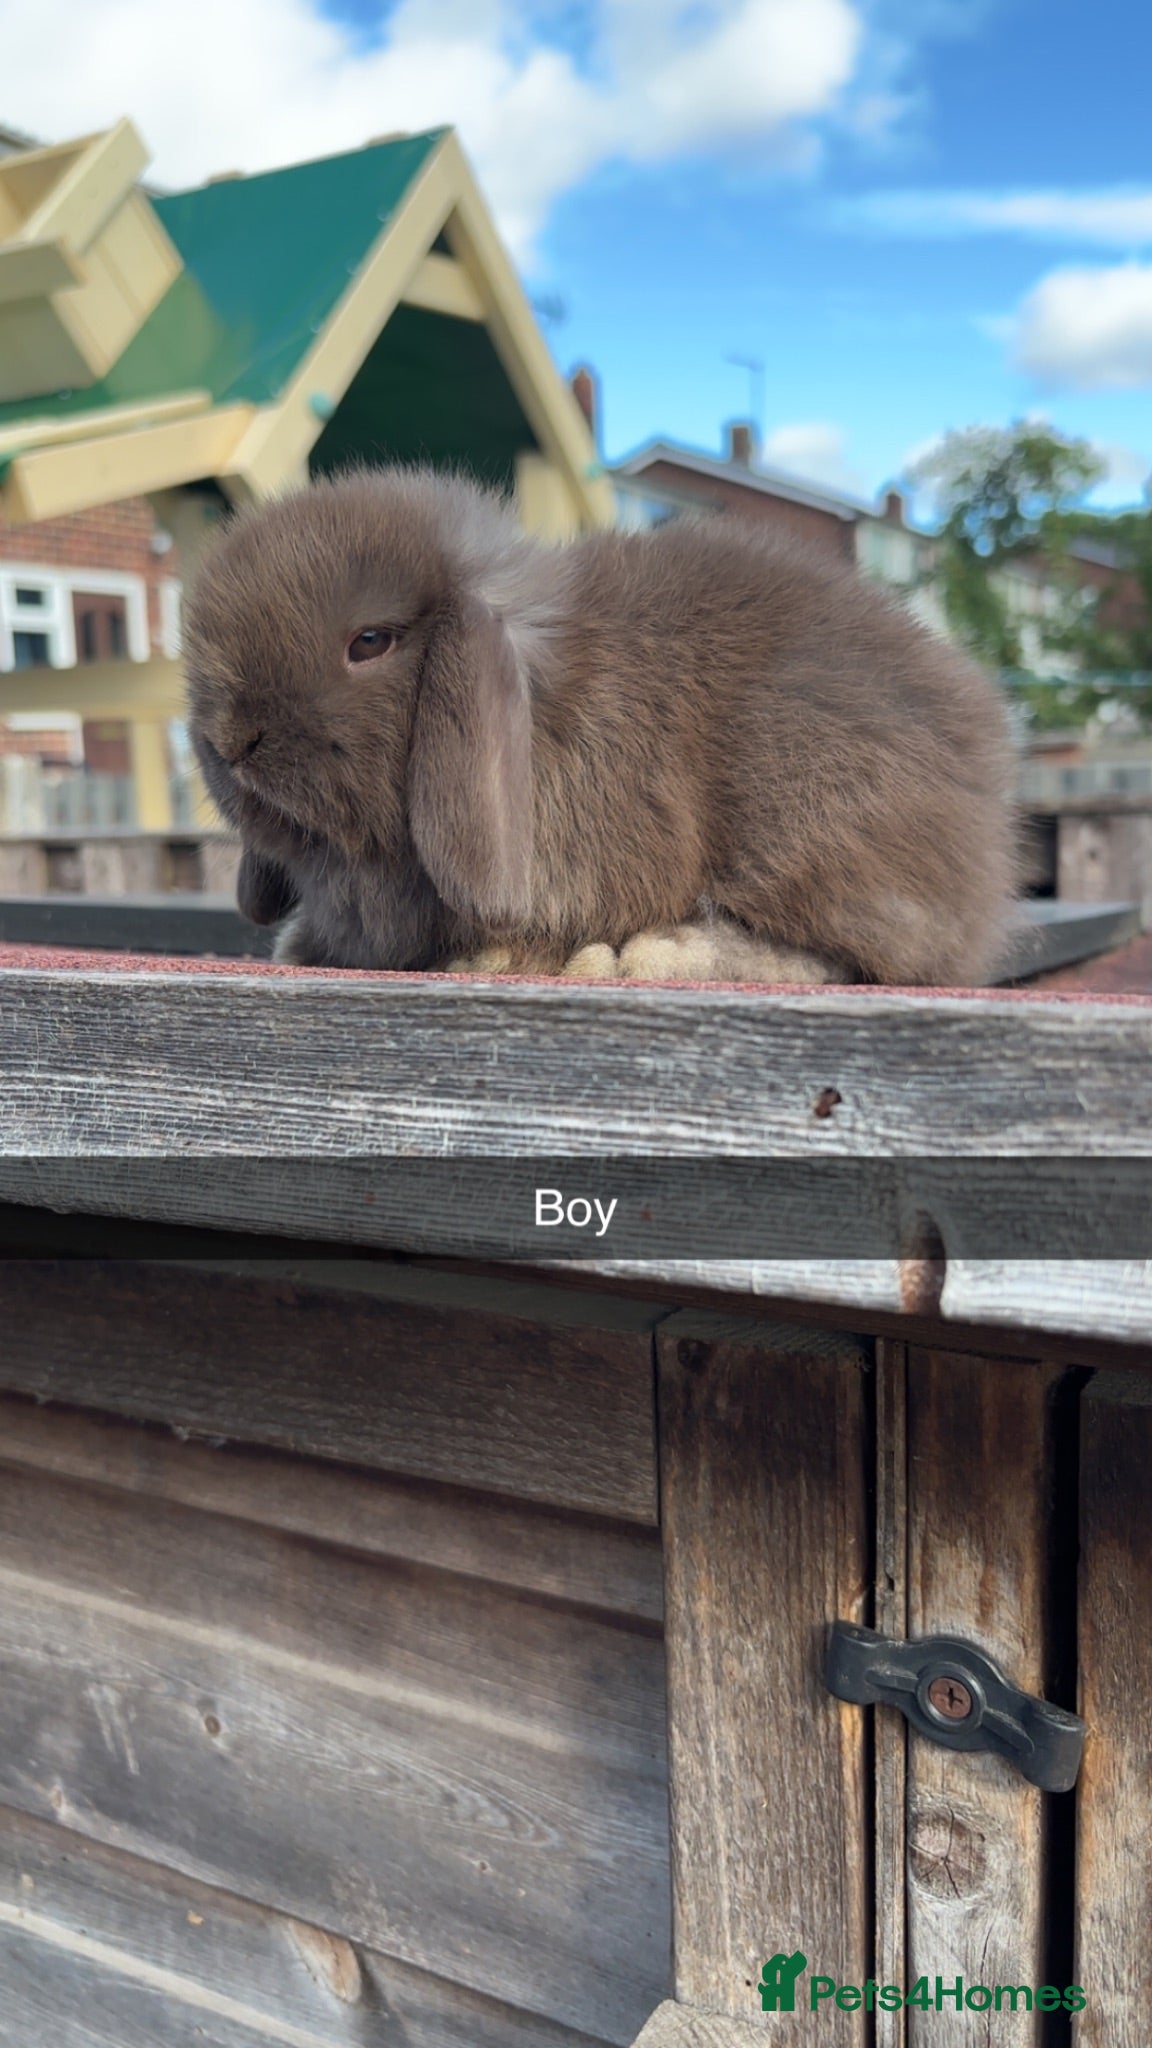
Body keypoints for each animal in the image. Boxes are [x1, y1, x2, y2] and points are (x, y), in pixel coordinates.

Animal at [183, 464, 1019, 985]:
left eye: (369, 642)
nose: (230, 740)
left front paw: (490, 959)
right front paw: (296, 944)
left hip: (806, 827)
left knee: (837, 957)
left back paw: (645, 955)